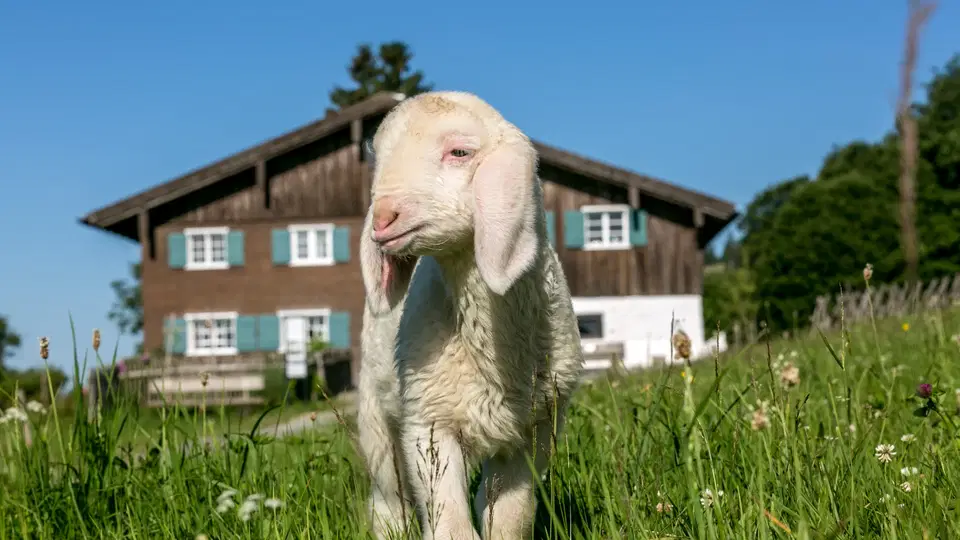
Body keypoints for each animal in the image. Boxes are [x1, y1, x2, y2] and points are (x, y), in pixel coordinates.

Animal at [357, 91, 584, 540]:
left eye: (459, 152)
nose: (383, 217)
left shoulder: (534, 429)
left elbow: (510, 516)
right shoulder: (427, 422)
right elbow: (451, 523)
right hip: (376, 413)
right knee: (388, 498)